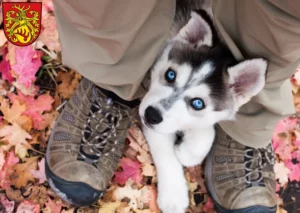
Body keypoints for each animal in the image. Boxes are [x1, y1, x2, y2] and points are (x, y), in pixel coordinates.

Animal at [138, 0, 268, 212]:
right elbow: (164, 151)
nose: (151, 115)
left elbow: (207, 131)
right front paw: (173, 195)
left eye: (198, 103)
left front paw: (187, 152)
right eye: (170, 75)